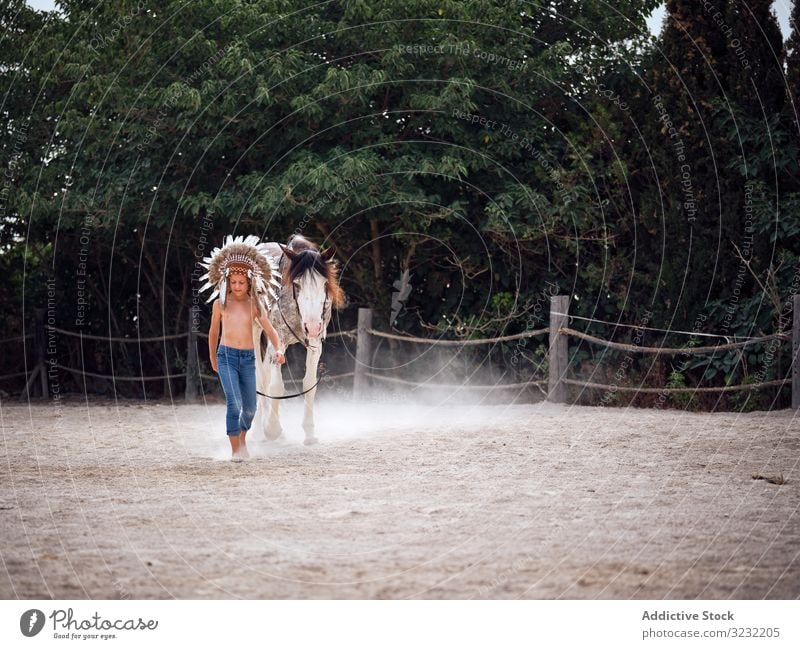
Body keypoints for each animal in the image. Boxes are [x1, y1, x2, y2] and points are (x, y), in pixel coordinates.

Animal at [253, 234, 344, 446]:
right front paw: (271, 429)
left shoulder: (315, 343)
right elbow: (276, 386)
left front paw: (309, 433)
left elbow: (309, 384)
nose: (312, 326)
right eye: (297, 284)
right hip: (255, 330)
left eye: (324, 284)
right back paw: (258, 431)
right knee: (260, 378)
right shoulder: (277, 341)